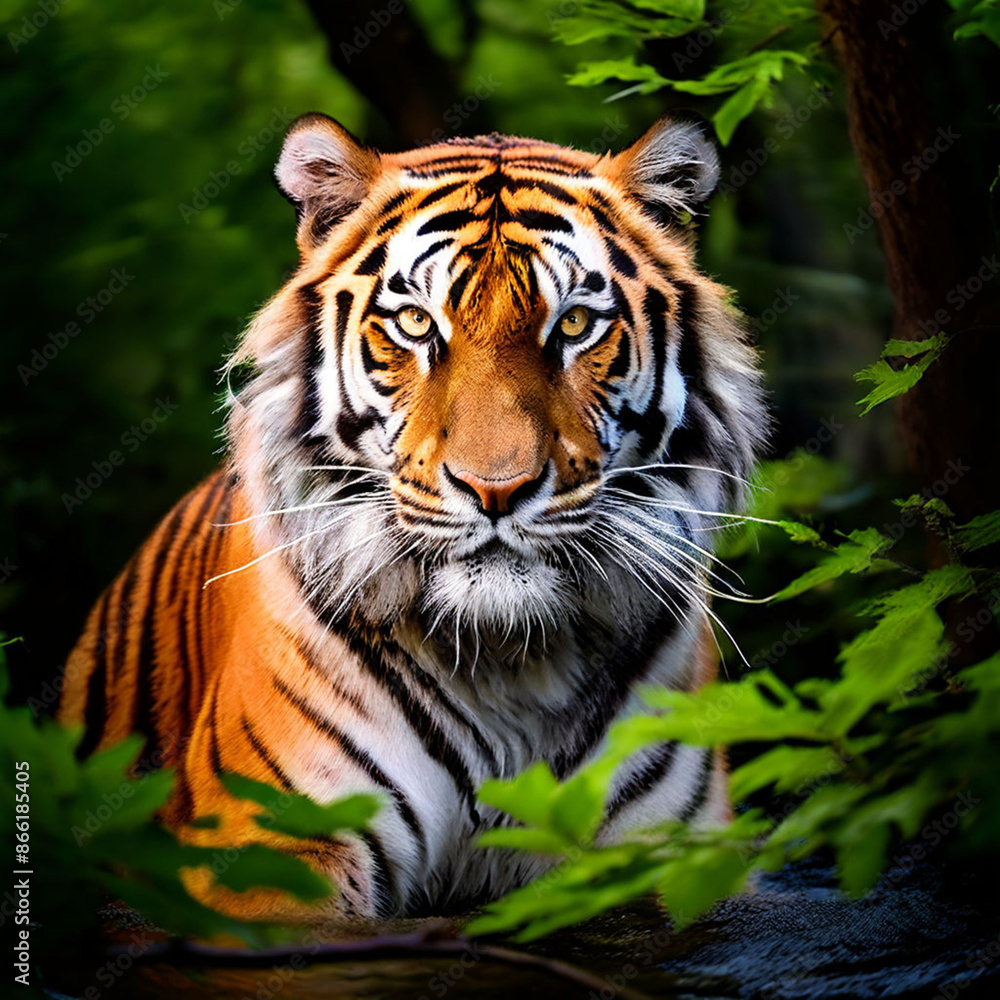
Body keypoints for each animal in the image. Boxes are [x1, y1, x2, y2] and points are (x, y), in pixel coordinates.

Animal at [58, 112, 767, 921]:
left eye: (575, 325)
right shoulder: (269, 852)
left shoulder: (676, 854)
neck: (511, 660)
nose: (497, 489)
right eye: (414, 323)